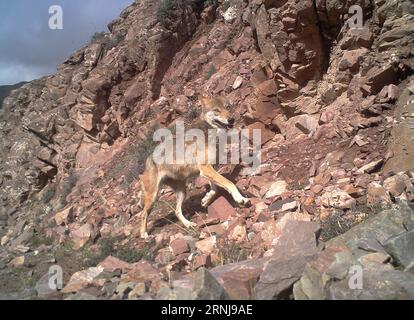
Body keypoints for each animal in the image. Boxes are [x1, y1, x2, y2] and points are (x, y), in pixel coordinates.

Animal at [138, 94, 249, 238]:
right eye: (216, 110)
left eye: (227, 107)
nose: (231, 119)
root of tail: (148, 160)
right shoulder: (205, 168)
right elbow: (229, 183)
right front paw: (240, 198)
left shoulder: (209, 169)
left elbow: (215, 188)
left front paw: (206, 199)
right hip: (153, 197)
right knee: (143, 214)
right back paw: (143, 234)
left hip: (182, 191)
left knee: (177, 211)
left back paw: (189, 225)